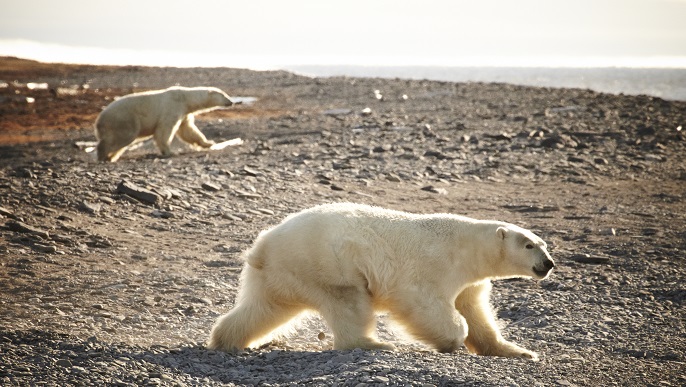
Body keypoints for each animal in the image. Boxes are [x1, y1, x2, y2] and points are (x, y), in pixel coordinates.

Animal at [95, 86, 236, 162]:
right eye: (224, 95)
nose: (231, 102)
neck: (185, 98)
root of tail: (99, 120)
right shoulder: (172, 107)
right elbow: (165, 130)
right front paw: (169, 152)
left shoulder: (184, 112)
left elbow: (187, 130)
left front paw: (208, 143)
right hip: (124, 119)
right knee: (124, 137)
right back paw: (103, 155)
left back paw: (111, 157)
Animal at [207, 203, 556, 360]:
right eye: (529, 245)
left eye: (544, 244)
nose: (548, 264)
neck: (465, 247)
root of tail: (262, 246)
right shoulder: (434, 266)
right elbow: (425, 303)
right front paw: (452, 338)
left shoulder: (471, 283)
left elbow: (477, 313)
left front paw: (520, 352)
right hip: (326, 266)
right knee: (349, 302)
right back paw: (374, 343)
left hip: (282, 275)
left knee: (266, 308)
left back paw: (228, 340)